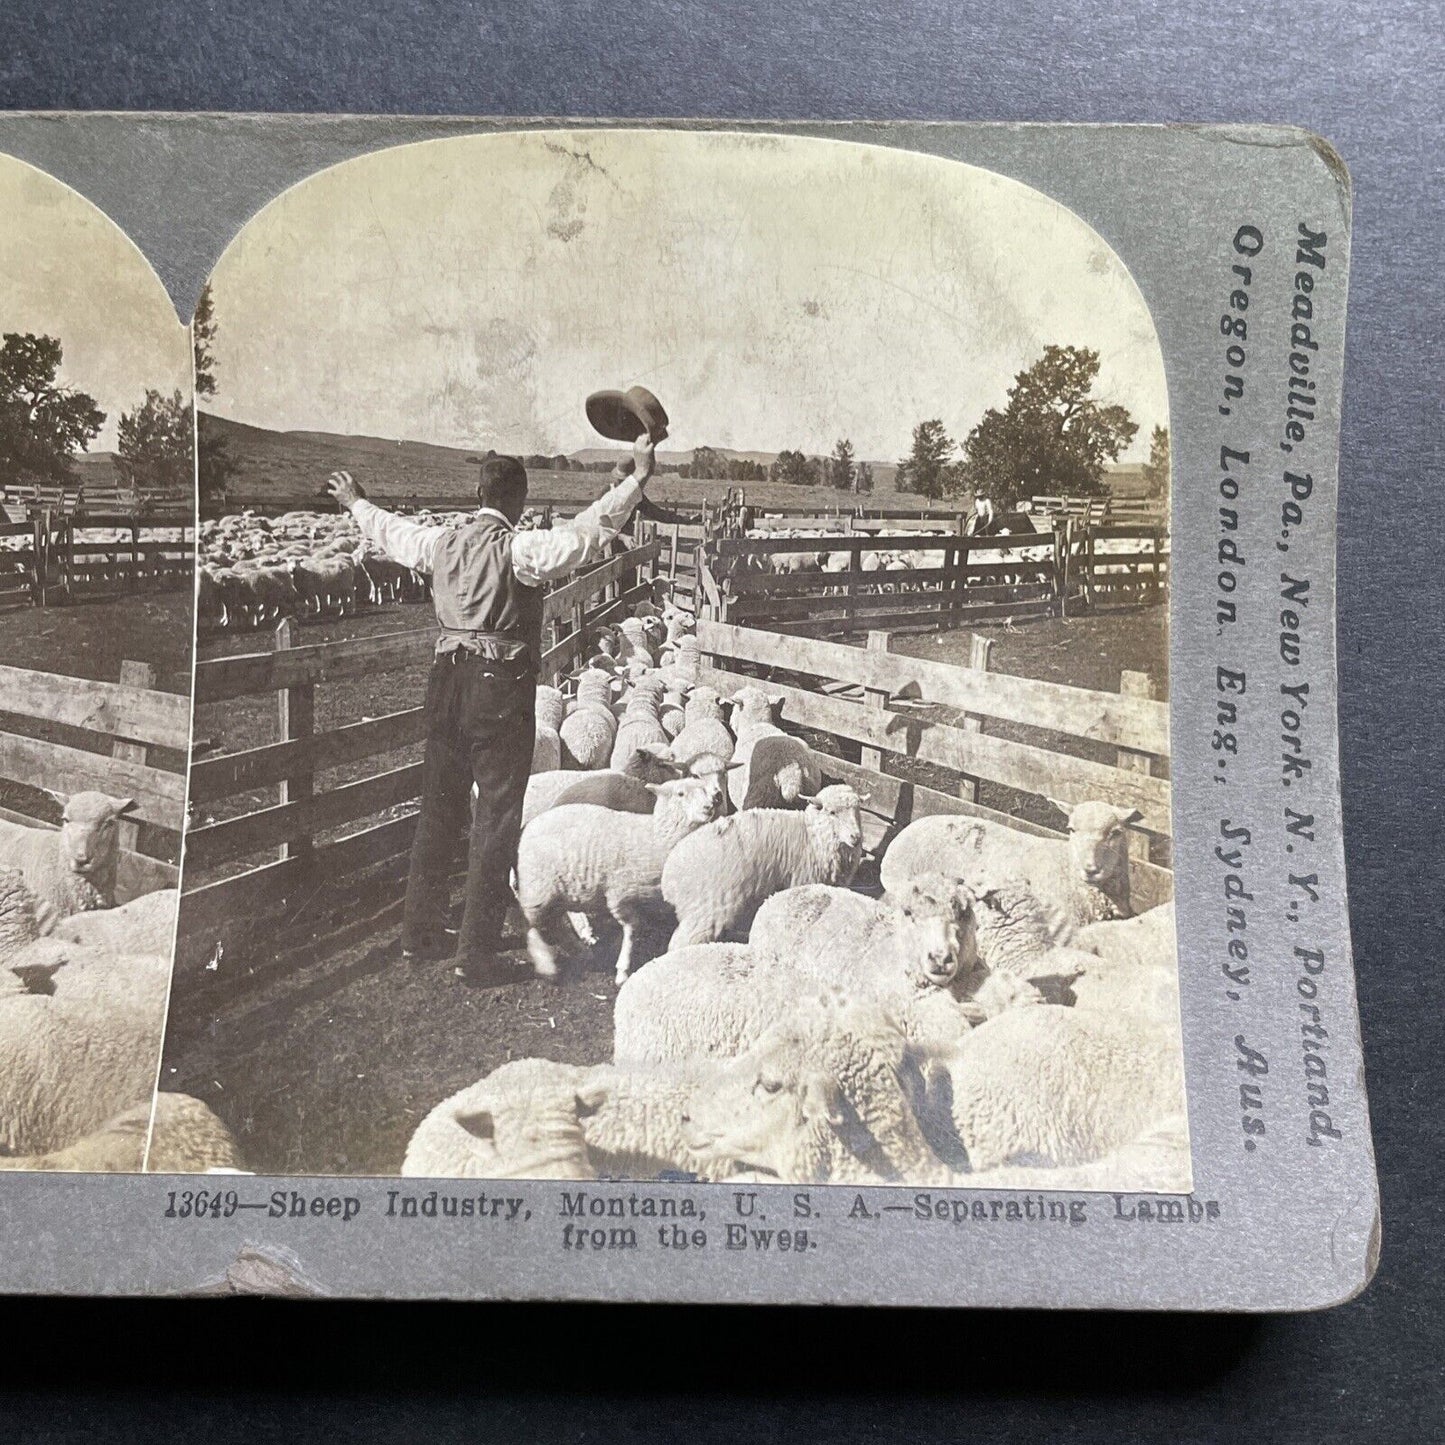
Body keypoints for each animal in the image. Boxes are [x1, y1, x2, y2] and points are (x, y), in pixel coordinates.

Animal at [520, 774, 722, 988]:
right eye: (680, 793)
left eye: (705, 790)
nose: (709, 807)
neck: (655, 836)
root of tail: (529, 826)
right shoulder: (619, 894)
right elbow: (632, 928)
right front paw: (622, 970)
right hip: (537, 891)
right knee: (533, 926)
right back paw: (547, 965)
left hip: (556, 892)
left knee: (554, 923)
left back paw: (579, 952)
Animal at [661, 786, 861, 953]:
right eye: (832, 812)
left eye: (857, 810)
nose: (856, 837)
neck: (812, 835)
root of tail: (670, 874)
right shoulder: (804, 881)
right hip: (706, 907)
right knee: (682, 942)